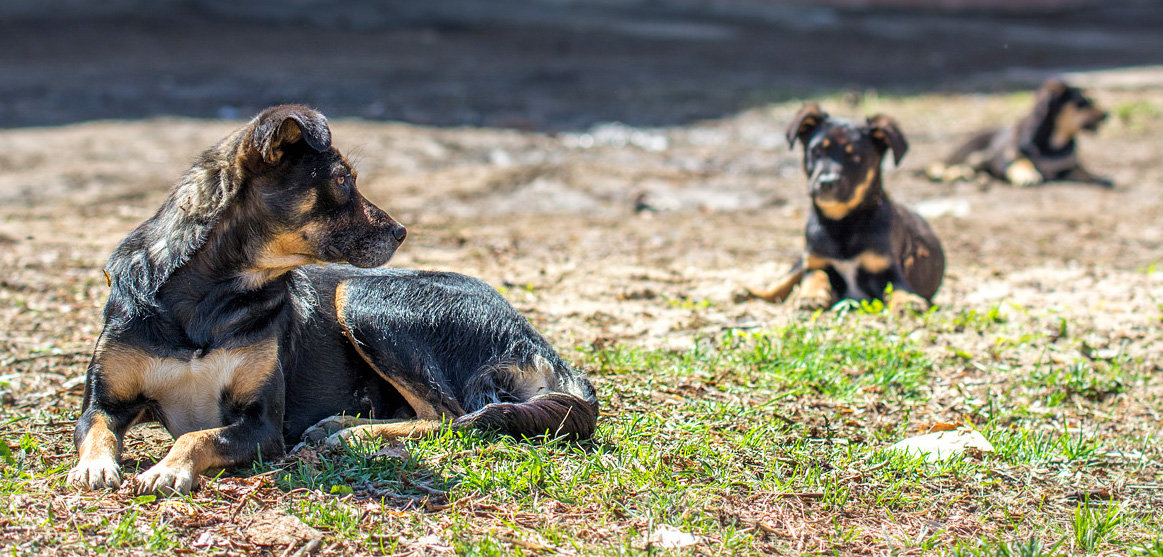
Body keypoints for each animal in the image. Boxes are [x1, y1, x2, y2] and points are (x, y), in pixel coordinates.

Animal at [68, 104, 600, 497]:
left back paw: (351, 433)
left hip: (361, 294)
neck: (211, 296)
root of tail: (541, 346)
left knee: (450, 417)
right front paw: (94, 466)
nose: (402, 232)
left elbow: (198, 436)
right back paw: (338, 425)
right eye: (343, 181)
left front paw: (169, 467)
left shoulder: (263, 425)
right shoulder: (104, 402)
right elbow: (95, 430)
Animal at [744, 102, 944, 311]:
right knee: (784, 280)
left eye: (855, 156)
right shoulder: (815, 260)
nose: (827, 182)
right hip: (802, 259)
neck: (842, 224)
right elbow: (814, 276)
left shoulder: (889, 268)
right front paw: (812, 295)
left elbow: (898, 287)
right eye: (817, 151)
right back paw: (750, 292)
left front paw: (907, 301)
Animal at [925, 78, 1107, 187]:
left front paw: (1100, 178)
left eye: (1091, 100)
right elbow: (1022, 162)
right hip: (972, 153)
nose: (1107, 114)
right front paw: (1027, 175)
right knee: (941, 165)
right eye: (1082, 103)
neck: (1054, 145)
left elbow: (1083, 171)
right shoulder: (1006, 160)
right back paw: (952, 173)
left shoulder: (1068, 167)